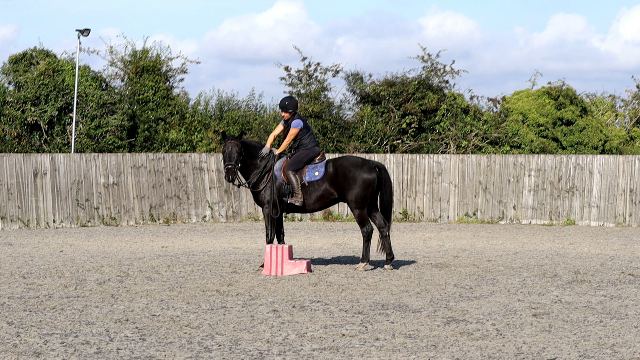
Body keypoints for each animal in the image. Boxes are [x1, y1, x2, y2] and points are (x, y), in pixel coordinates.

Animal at [224, 132, 396, 270]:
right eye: (224, 151)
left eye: (239, 151)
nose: (229, 175)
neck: (266, 172)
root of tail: (371, 164)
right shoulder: (278, 211)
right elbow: (280, 235)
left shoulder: (268, 209)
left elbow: (269, 235)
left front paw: (265, 263)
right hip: (370, 206)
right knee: (383, 227)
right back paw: (388, 261)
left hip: (358, 208)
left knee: (367, 230)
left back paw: (363, 262)